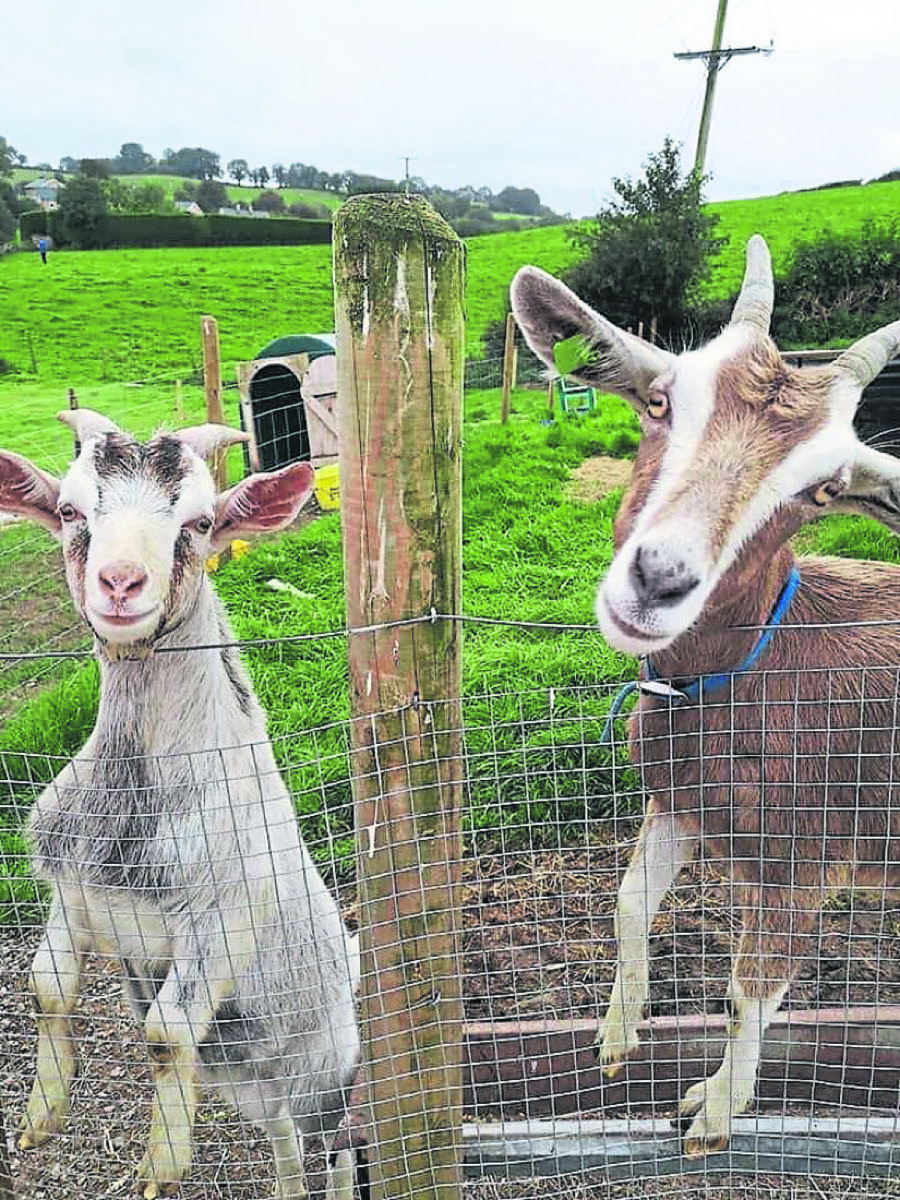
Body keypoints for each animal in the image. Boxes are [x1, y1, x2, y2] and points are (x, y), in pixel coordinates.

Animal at [2, 412, 360, 1199]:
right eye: (69, 510)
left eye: (198, 523)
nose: (120, 582)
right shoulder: (72, 892)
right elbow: (46, 987)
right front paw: (41, 1115)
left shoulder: (222, 922)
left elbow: (165, 1033)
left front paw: (162, 1162)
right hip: (254, 1084)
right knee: (285, 1143)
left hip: (328, 1076)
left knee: (341, 1149)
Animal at [511, 237, 900, 1157]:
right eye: (659, 401)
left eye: (824, 490)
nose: (659, 580)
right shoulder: (680, 802)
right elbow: (628, 904)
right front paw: (617, 1036)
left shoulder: (801, 864)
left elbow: (748, 992)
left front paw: (715, 1113)